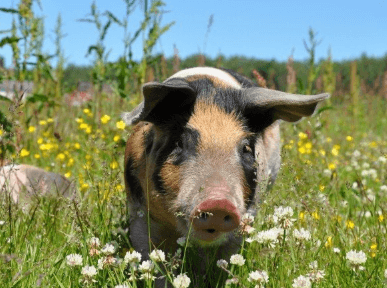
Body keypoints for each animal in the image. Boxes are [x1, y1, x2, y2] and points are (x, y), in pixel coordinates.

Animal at [122, 67, 330, 286]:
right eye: (179, 142)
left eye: (246, 147)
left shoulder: (245, 217)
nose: (218, 202)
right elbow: (152, 260)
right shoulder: (138, 212)